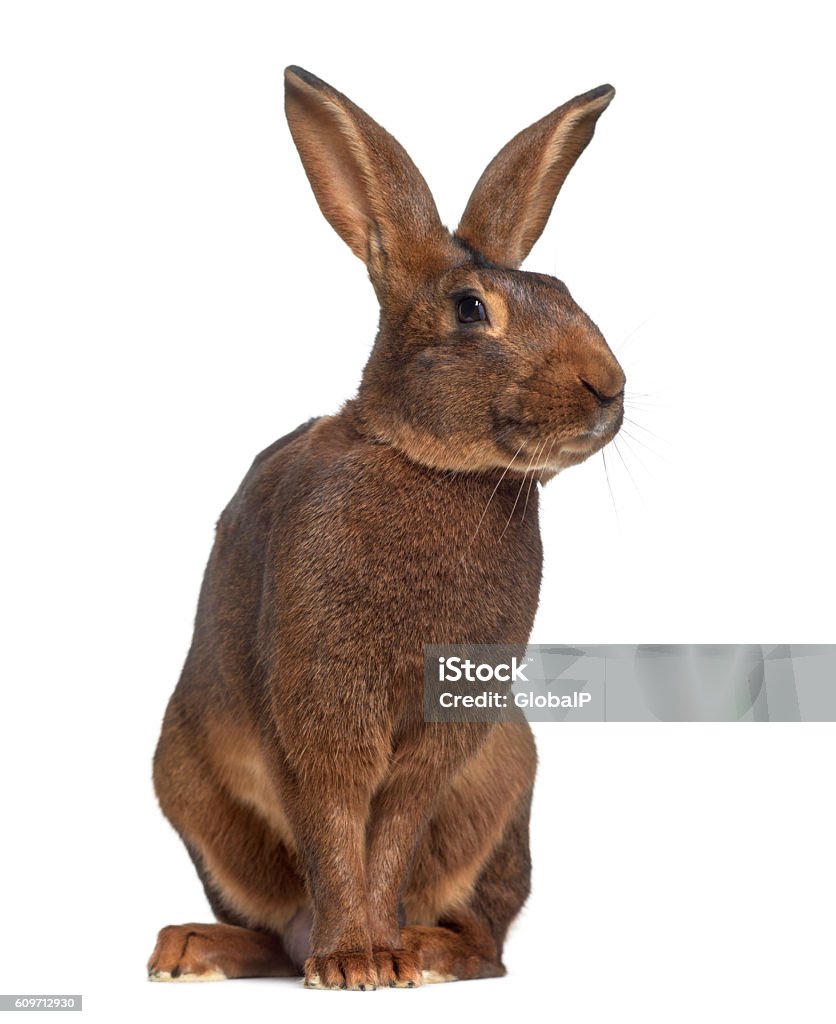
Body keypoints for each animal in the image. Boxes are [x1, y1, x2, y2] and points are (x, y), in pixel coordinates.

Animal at [146, 66, 622, 991]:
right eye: (471, 310)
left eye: (564, 293)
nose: (608, 386)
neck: (432, 463)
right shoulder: (318, 707)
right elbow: (336, 822)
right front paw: (351, 964)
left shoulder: (445, 729)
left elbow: (393, 829)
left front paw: (381, 958)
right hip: (191, 788)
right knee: (267, 924)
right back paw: (197, 950)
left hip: (507, 776)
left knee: (488, 939)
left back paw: (427, 948)